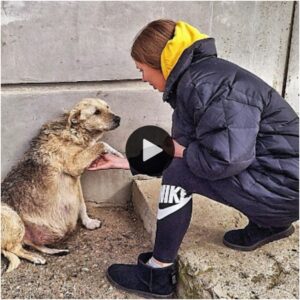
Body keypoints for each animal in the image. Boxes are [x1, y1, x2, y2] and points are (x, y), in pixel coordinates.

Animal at [1, 98, 122, 272]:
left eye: (108, 107)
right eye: (96, 112)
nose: (118, 119)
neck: (74, 131)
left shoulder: (76, 179)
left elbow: (82, 205)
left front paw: (88, 222)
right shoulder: (74, 165)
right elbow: (102, 144)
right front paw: (116, 153)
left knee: (31, 245)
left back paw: (55, 251)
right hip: (11, 216)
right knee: (13, 249)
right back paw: (36, 258)